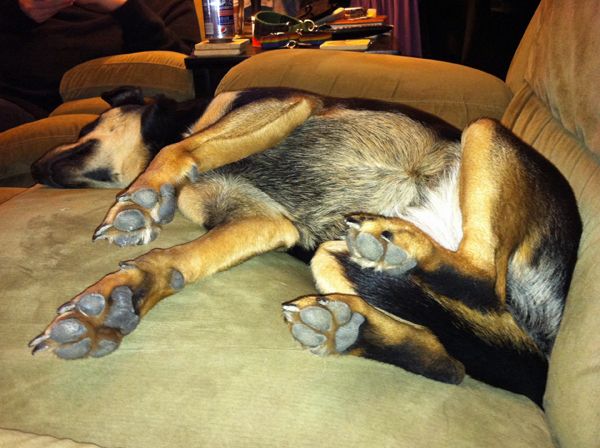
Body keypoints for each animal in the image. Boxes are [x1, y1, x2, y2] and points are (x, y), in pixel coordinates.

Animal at [29, 86, 580, 406]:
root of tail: (540, 350)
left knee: (481, 276)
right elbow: (176, 261)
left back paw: (401, 247)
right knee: (450, 364)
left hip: (483, 135)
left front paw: (140, 204)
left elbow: (178, 148)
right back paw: (348, 330)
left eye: (84, 126)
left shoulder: (284, 105)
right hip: (333, 260)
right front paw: (117, 300)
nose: (33, 168)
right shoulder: (264, 222)